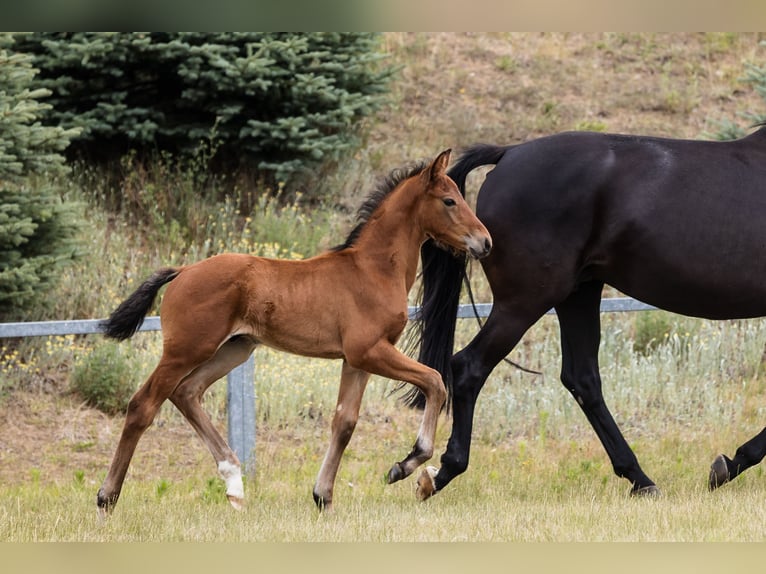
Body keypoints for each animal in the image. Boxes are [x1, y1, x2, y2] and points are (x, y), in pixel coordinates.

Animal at [95, 149, 492, 516]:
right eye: (449, 200)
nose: (485, 242)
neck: (373, 269)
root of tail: (183, 270)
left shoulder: (356, 360)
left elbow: (344, 422)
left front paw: (323, 497)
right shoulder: (369, 351)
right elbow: (435, 381)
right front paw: (405, 465)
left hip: (234, 349)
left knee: (187, 393)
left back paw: (235, 484)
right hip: (186, 350)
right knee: (143, 405)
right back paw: (106, 498)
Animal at [412, 128, 766, 501]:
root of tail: (508, 154)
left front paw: (730, 463)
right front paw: (732, 463)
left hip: (578, 294)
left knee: (582, 379)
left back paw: (640, 478)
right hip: (524, 301)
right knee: (470, 367)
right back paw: (440, 472)